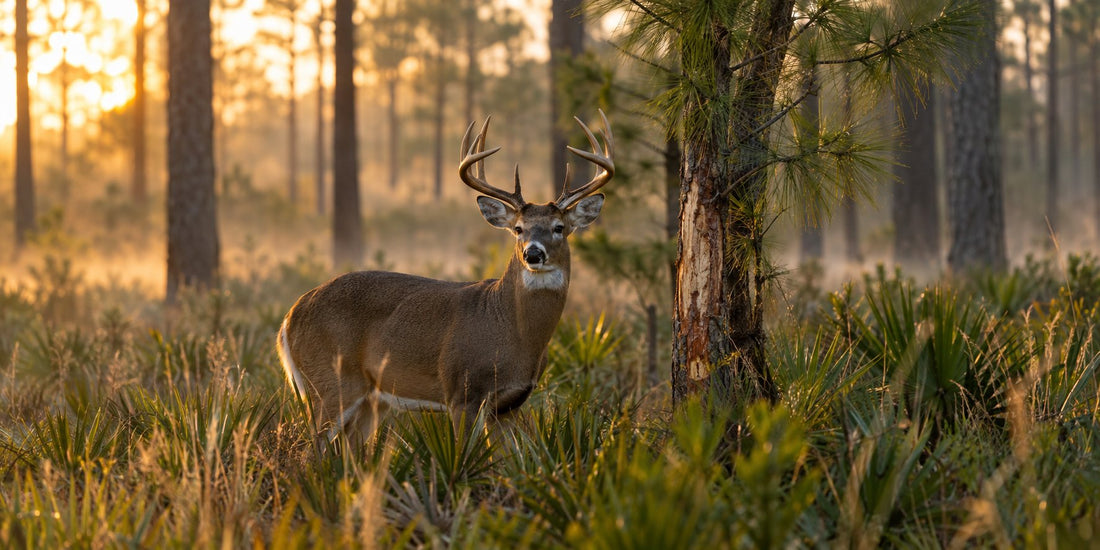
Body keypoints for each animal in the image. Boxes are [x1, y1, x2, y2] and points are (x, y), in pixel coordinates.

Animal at [276, 111, 614, 442]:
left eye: (559, 228)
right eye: (518, 229)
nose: (533, 254)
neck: (513, 332)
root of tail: (290, 316)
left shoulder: (509, 405)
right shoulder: (462, 391)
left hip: (372, 398)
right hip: (329, 381)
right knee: (311, 447)